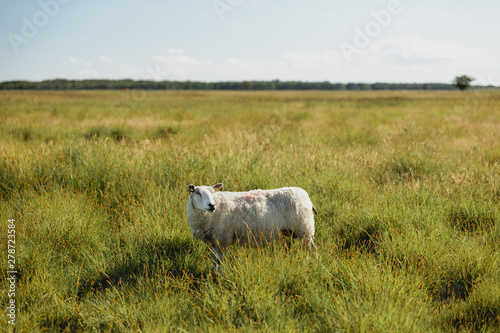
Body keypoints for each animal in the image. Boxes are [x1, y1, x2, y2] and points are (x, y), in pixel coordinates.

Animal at [184, 183, 316, 272]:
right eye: (197, 192)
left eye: (213, 192)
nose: (212, 205)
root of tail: (305, 195)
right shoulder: (215, 239)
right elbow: (214, 258)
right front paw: (213, 273)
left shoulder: (222, 238)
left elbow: (218, 259)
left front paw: (218, 276)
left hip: (304, 228)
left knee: (310, 249)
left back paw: (310, 262)